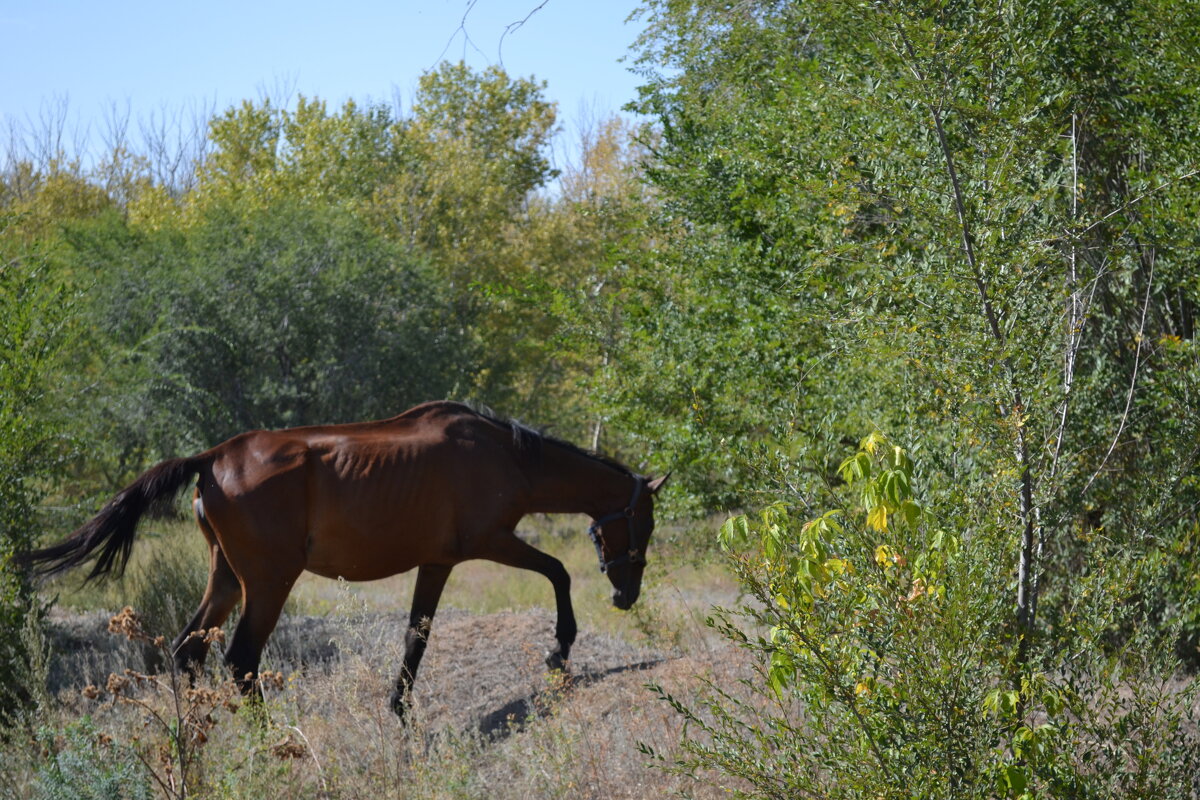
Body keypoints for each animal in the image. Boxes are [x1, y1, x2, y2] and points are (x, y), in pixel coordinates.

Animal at [21, 402, 667, 714]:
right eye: (646, 523)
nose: (626, 594)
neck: (504, 453)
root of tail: (212, 457)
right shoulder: (491, 542)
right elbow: (558, 573)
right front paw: (560, 649)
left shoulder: (437, 564)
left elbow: (416, 636)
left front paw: (399, 708)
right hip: (268, 583)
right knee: (239, 662)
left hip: (226, 579)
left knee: (189, 652)